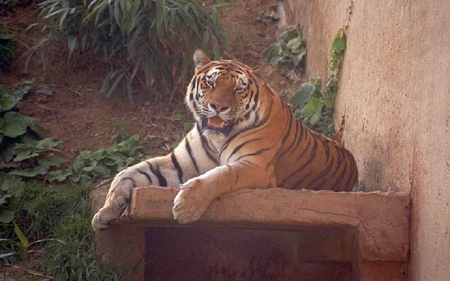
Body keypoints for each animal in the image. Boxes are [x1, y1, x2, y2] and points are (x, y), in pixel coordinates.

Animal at [92, 48, 358, 228]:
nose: (218, 107)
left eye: (238, 89)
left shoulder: (256, 166)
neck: (216, 138)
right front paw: (105, 212)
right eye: (210, 83)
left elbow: (220, 175)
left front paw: (186, 206)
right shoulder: (176, 164)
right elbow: (127, 173)